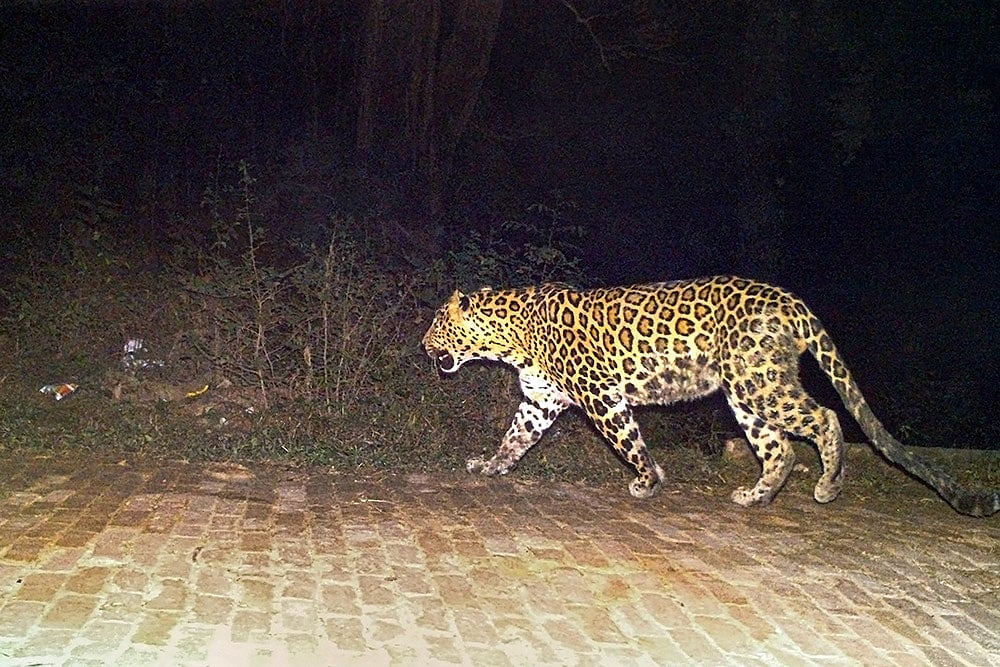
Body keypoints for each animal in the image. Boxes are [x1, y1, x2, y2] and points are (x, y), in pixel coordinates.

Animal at [422, 275, 999, 517]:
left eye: (437, 324)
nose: (424, 345)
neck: (509, 338)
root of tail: (789, 300)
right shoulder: (541, 402)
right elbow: (514, 439)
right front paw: (490, 467)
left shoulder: (599, 394)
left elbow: (627, 440)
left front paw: (648, 482)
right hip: (745, 393)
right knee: (781, 449)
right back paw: (756, 497)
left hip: (758, 383)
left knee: (825, 418)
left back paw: (829, 485)